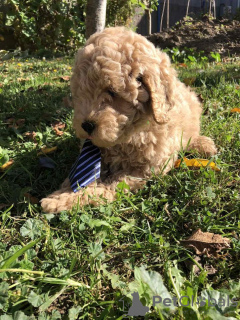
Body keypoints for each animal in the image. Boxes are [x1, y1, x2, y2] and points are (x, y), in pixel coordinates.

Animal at [41, 26, 218, 212]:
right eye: (80, 93)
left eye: (112, 92)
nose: (87, 125)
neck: (126, 137)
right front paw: (63, 195)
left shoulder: (146, 169)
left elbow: (111, 184)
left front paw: (64, 199)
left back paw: (204, 144)